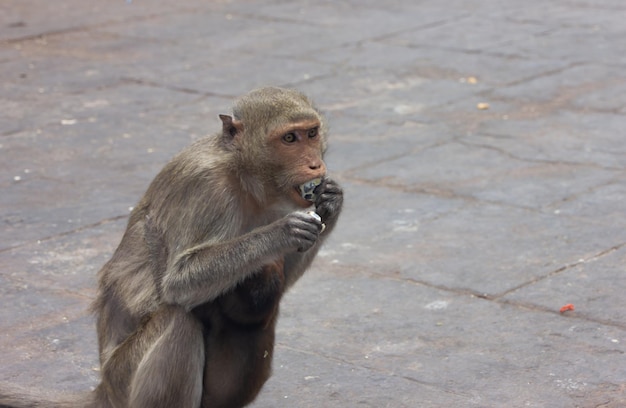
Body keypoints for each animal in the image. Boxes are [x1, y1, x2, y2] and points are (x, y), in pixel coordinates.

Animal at [0, 87, 342, 408]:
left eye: (312, 133)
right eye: (289, 138)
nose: (316, 165)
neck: (243, 174)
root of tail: (104, 389)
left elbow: (282, 277)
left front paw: (331, 201)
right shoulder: (206, 188)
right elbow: (179, 281)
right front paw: (283, 232)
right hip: (123, 377)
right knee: (178, 321)